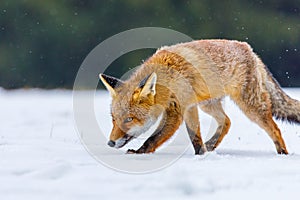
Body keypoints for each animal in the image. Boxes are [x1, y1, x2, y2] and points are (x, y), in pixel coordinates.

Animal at [100, 39, 300, 155]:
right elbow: (195, 136)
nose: (110, 143)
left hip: (250, 107)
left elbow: (156, 137)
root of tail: (250, 50)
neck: (169, 74)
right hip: (208, 104)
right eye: (113, 119)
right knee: (227, 121)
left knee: (274, 129)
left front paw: (140, 152)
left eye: (129, 119)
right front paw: (202, 154)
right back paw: (211, 145)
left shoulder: (178, 110)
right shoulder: (189, 107)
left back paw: (283, 153)